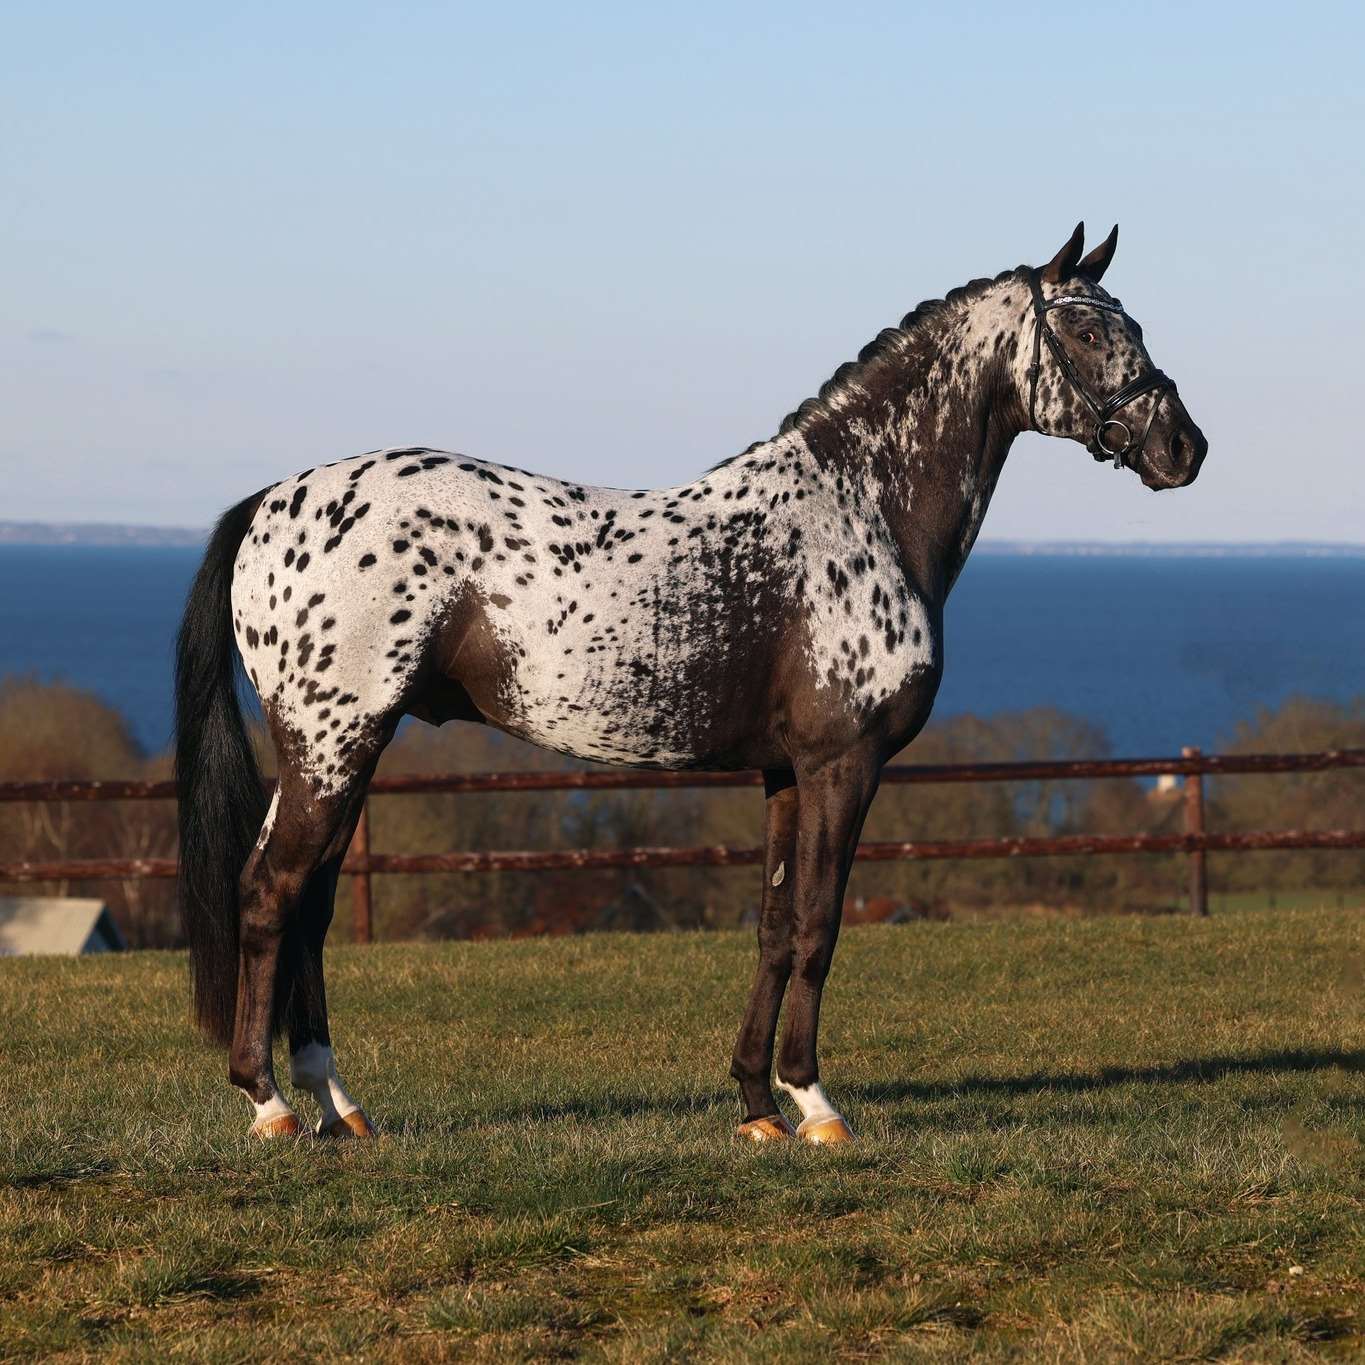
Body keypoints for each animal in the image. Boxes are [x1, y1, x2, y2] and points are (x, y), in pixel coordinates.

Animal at [174, 223, 1207, 1143]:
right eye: (1087, 332)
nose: (1182, 449)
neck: (861, 504)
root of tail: (270, 503)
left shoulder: (784, 773)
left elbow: (773, 925)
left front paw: (758, 1104)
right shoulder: (842, 764)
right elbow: (818, 927)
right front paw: (817, 1103)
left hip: (343, 752)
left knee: (307, 905)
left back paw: (338, 1106)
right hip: (330, 745)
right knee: (269, 893)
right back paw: (269, 1103)